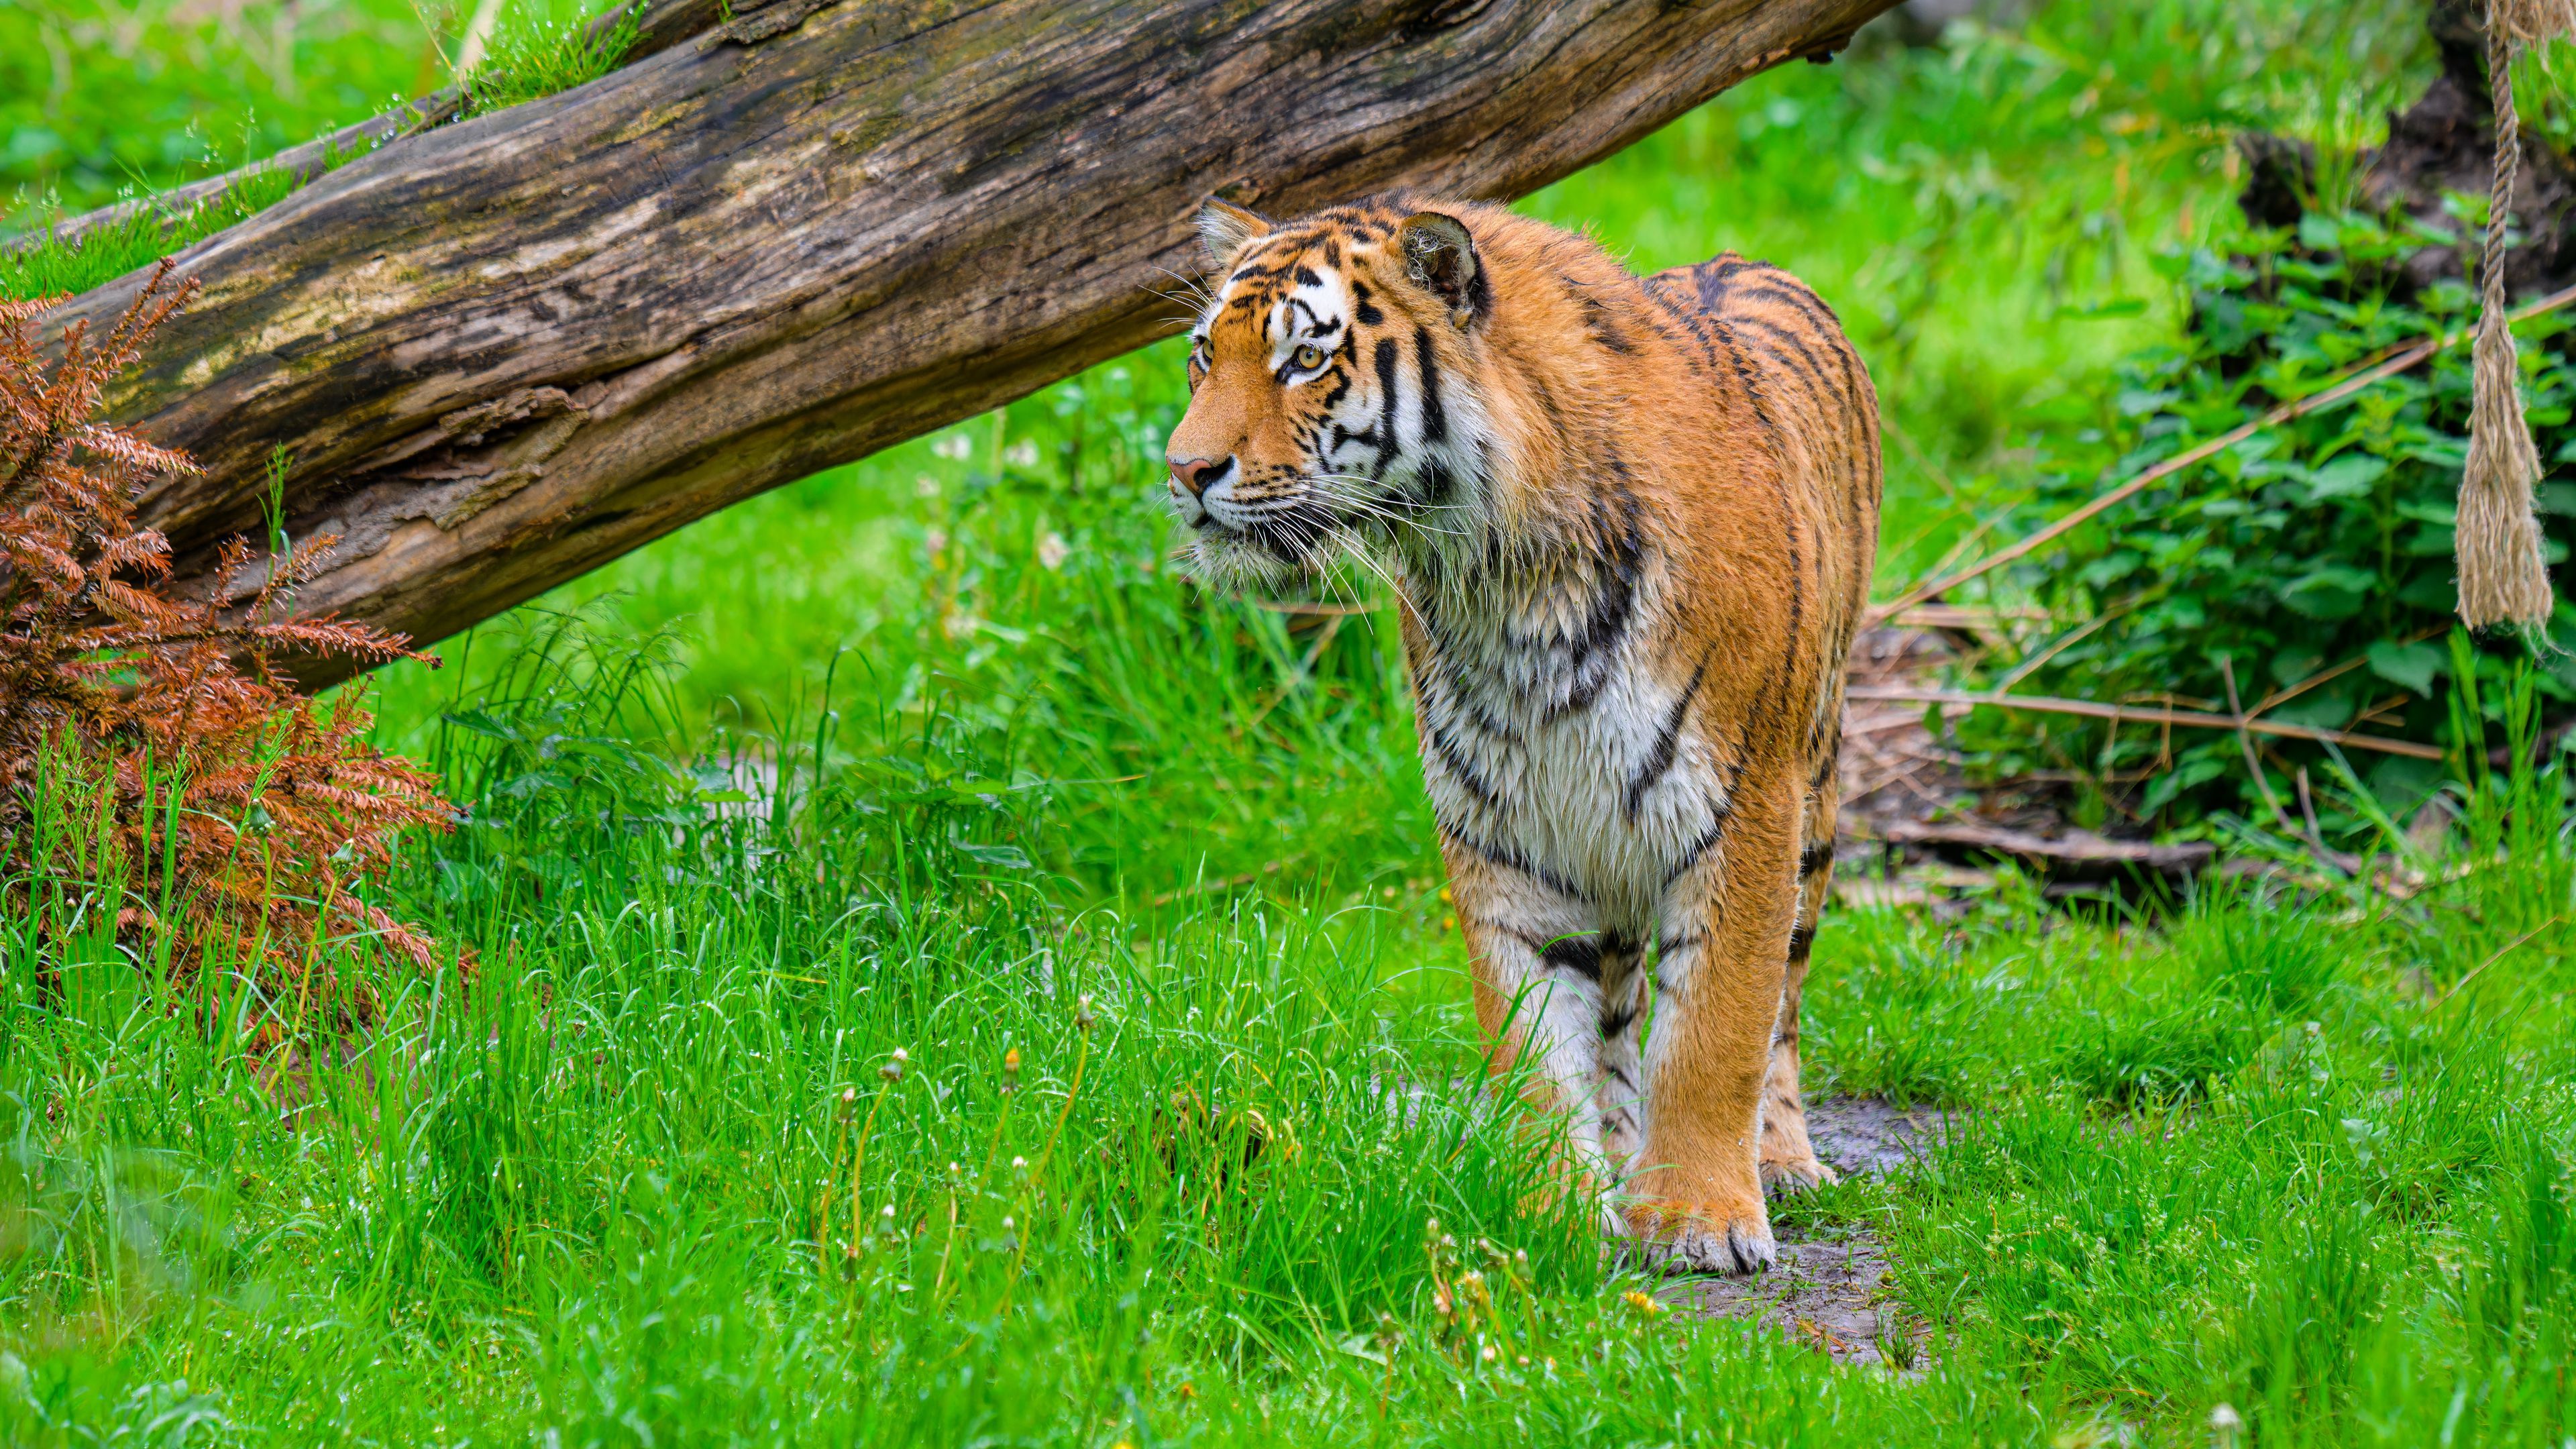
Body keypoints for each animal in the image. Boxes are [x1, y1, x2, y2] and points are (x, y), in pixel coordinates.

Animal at [1162, 195, 1879, 1274]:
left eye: (1304, 360)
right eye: (1206, 355)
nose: (1185, 469)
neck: (1506, 581)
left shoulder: (1744, 806)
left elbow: (1718, 1027)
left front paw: (1701, 1219)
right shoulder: (1503, 821)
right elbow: (1536, 1038)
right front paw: (1554, 1215)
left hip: (1817, 787)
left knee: (1784, 1006)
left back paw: (1783, 1161)